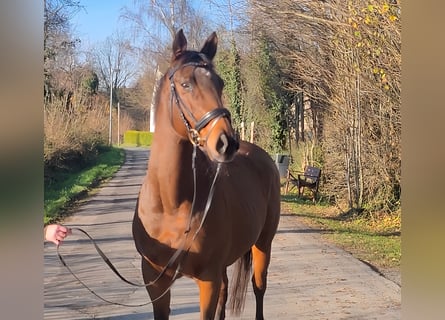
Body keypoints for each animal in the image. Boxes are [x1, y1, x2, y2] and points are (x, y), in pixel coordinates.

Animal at [130, 28, 280, 318]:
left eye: (220, 84)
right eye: (185, 84)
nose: (226, 142)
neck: (171, 204)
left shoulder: (207, 280)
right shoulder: (154, 281)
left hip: (263, 245)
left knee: (259, 289)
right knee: (226, 291)